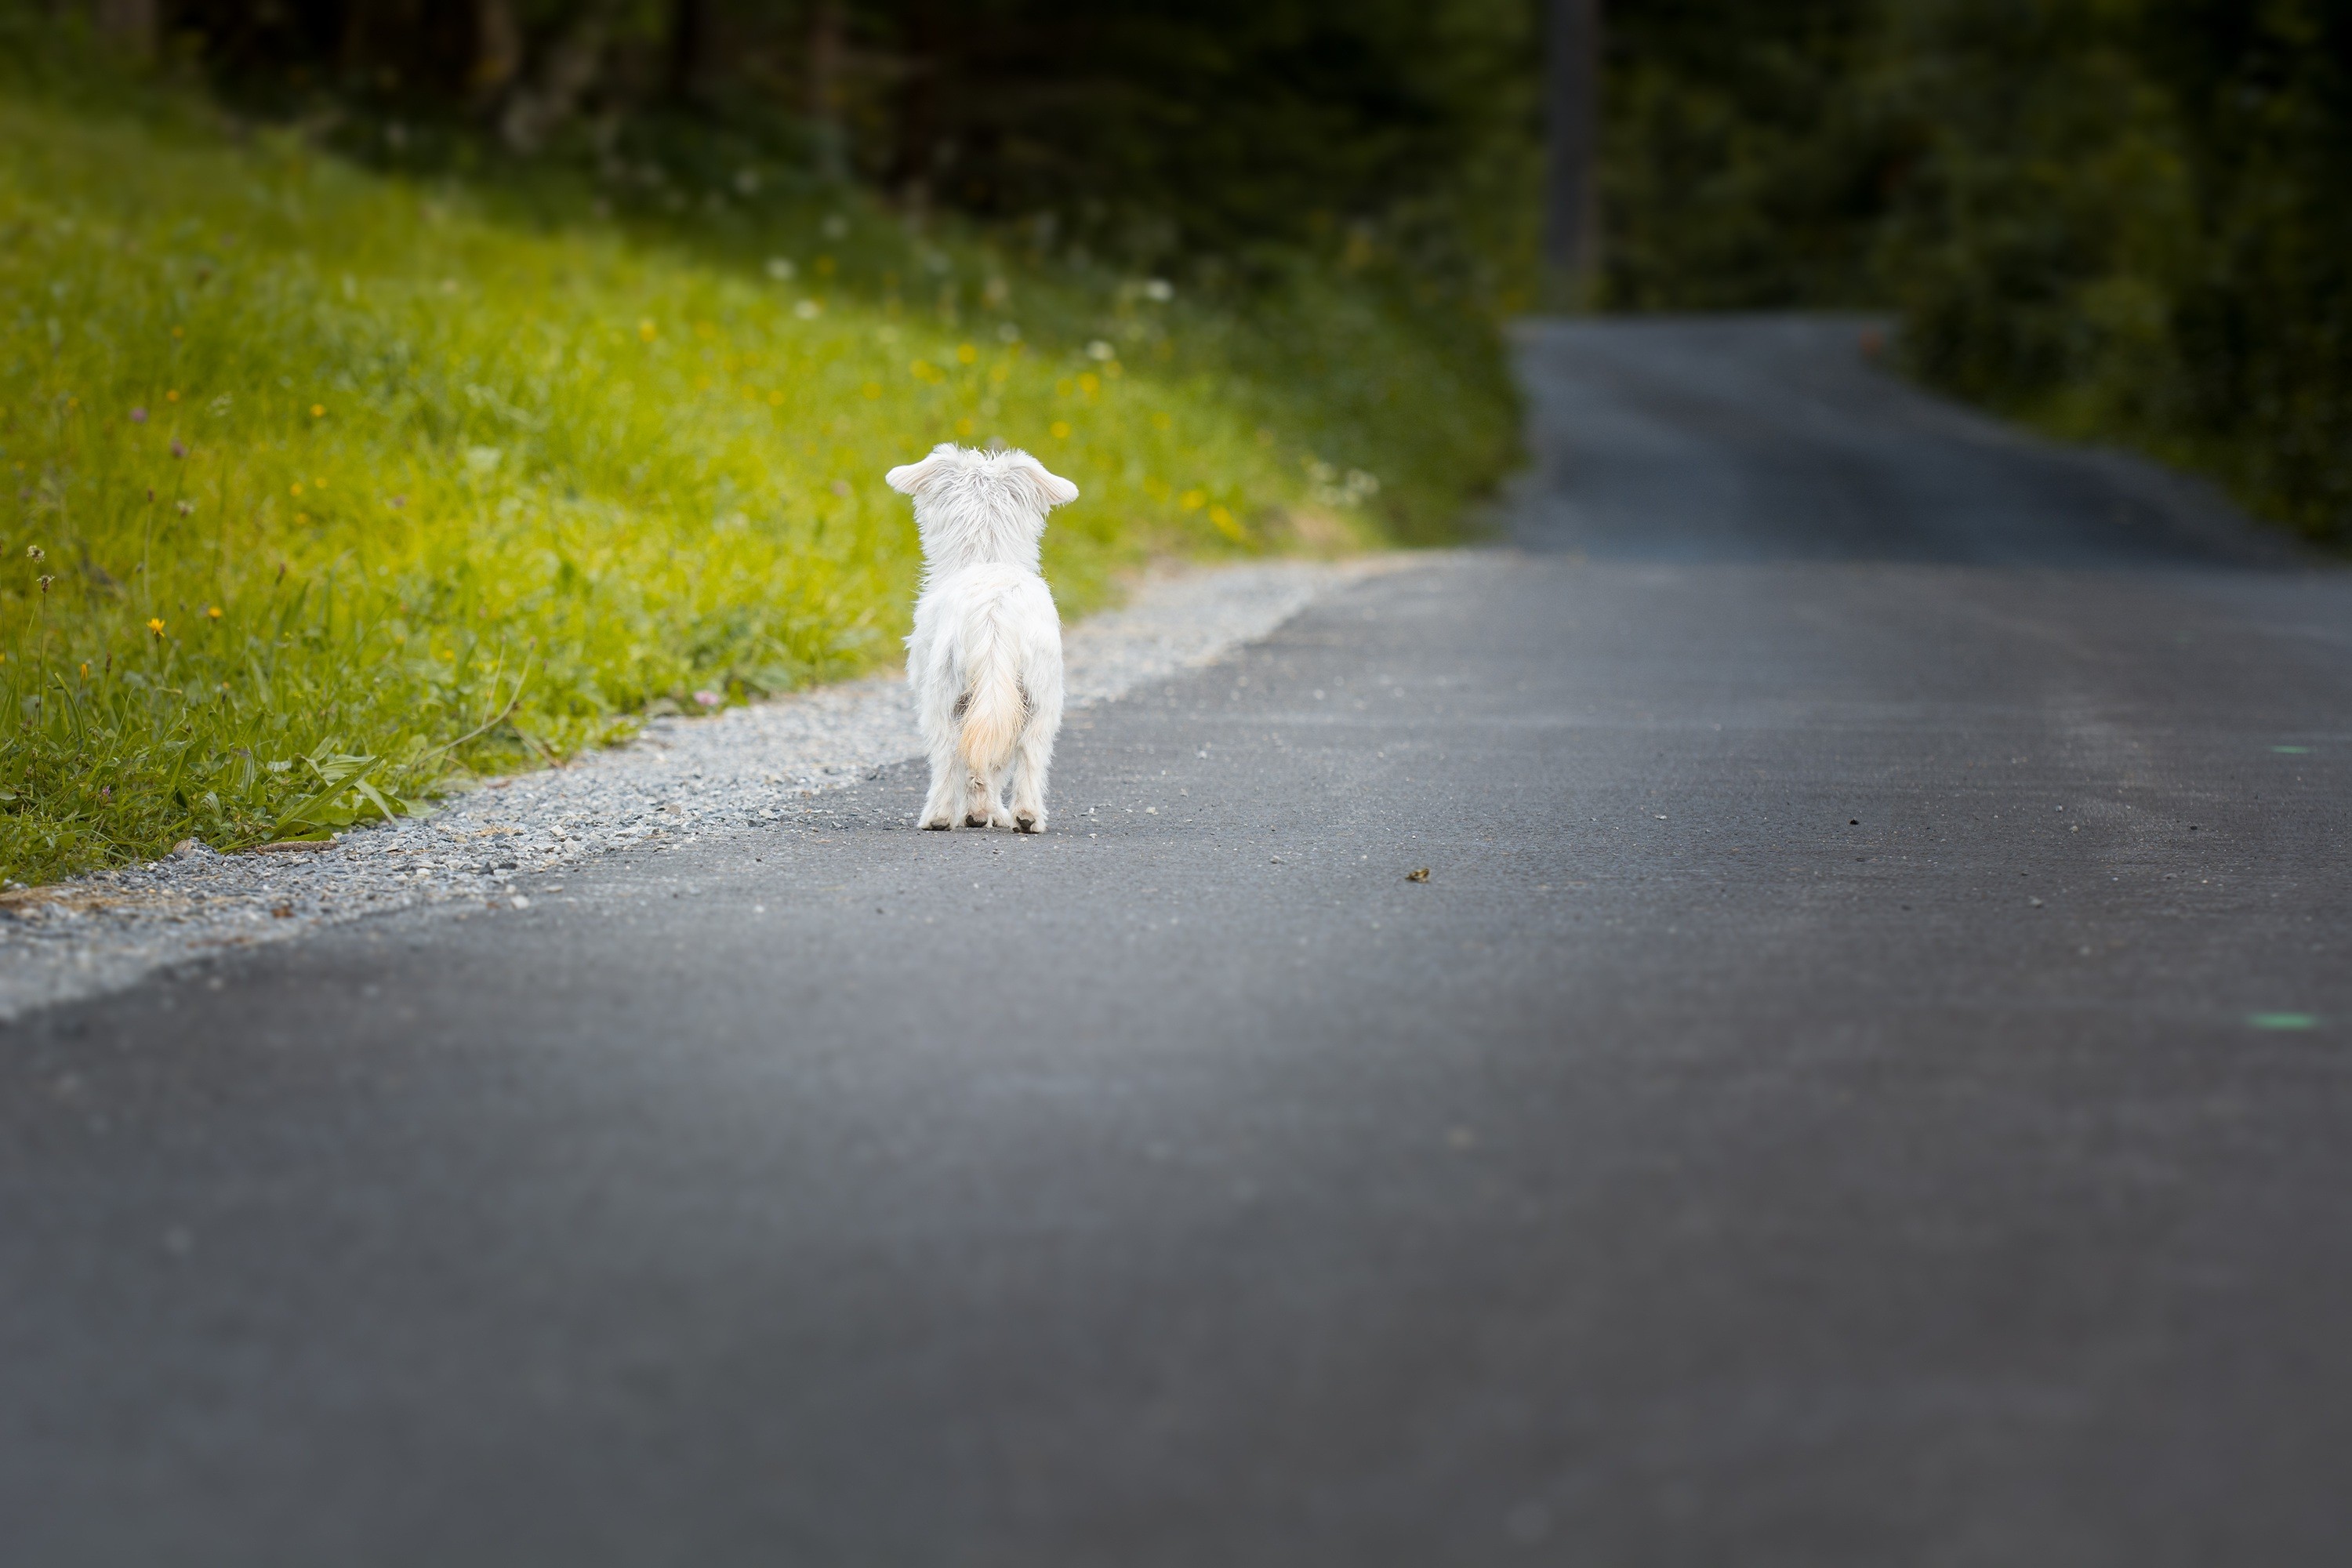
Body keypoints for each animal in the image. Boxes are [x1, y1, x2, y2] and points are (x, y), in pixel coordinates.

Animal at [884, 441, 1077, 832]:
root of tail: (995, 612)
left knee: (947, 754)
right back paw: (1027, 816)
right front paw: (988, 813)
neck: (985, 555)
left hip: (942, 695)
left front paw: (978, 813)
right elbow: (994, 762)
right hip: (1040, 697)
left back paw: (939, 817)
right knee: (1030, 754)